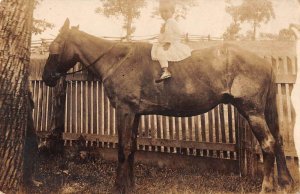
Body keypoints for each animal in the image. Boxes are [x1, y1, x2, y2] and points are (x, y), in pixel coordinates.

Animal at [41, 19, 292, 192]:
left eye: (54, 47)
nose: (46, 78)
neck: (118, 60)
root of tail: (264, 61)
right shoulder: (135, 113)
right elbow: (132, 148)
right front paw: (130, 185)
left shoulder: (124, 111)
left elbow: (123, 148)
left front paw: (119, 186)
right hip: (263, 111)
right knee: (278, 140)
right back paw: (285, 181)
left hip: (252, 112)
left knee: (269, 144)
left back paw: (267, 187)